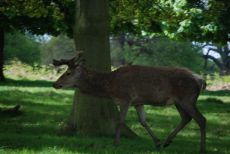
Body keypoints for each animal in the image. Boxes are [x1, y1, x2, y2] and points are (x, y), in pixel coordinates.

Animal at [53, 52, 207, 154]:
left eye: (68, 73)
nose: (55, 84)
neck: (110, 87)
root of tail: (201, 80)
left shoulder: (125, 98)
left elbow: (120, 121)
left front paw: (115, 143)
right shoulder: (138, 102)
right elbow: (143, 121)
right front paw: (157, 142)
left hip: (187, 98)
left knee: (201, 119)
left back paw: (202, 148)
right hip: (179, 102)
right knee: (186, 118)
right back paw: (167, 142)